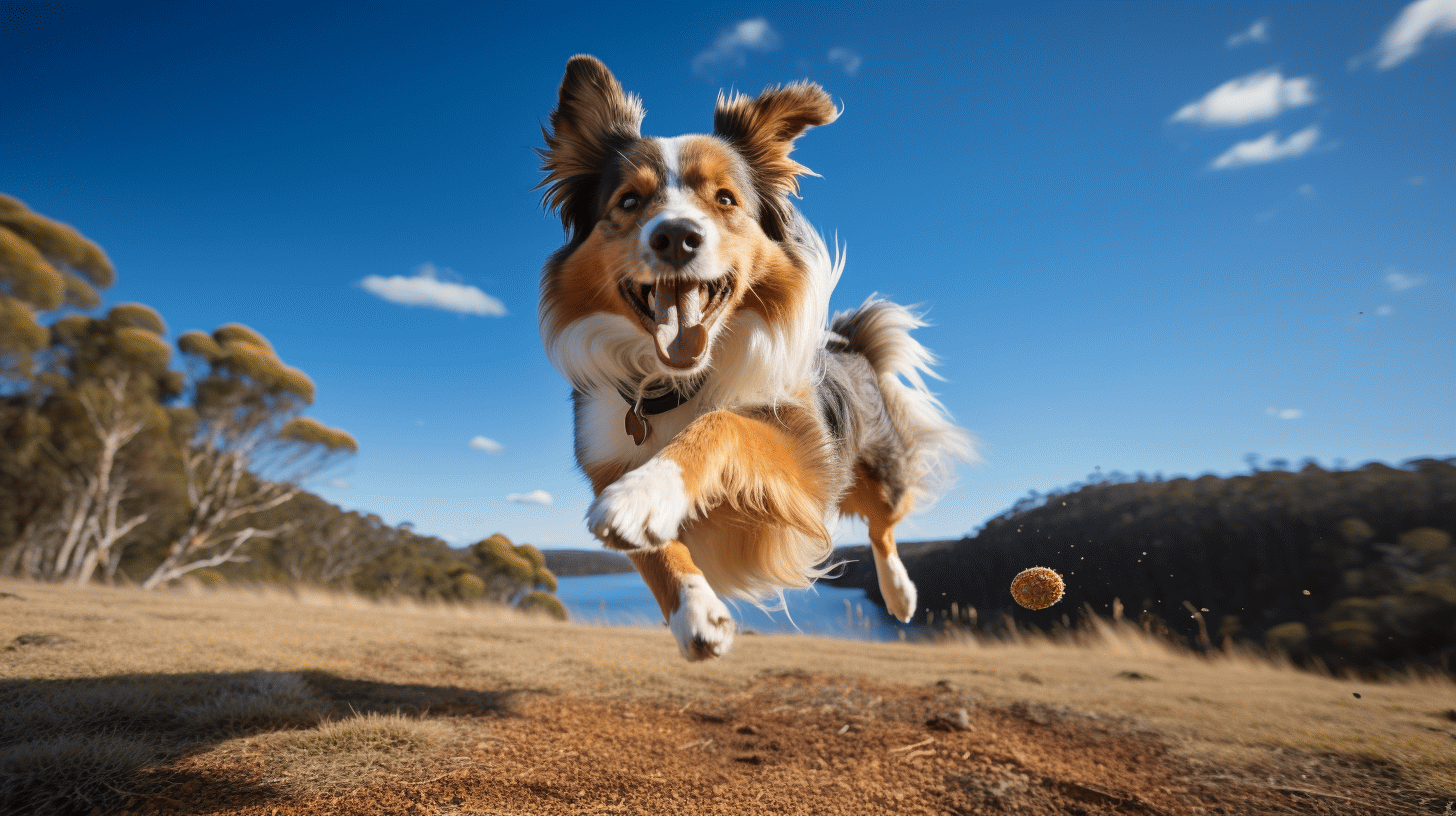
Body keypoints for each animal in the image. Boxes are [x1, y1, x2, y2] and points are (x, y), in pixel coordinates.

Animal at [538, 54, 978, 658]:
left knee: (884, 525)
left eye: (725, 199)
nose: (676, 236)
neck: (674, 384)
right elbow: (653, 550)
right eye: (628, 201)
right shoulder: (605, 460)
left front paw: (647, 491)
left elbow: (725, 424)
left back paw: (901, 594)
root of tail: (848, 344)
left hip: (873, 473)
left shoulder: (803, 458)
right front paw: (695, 611)